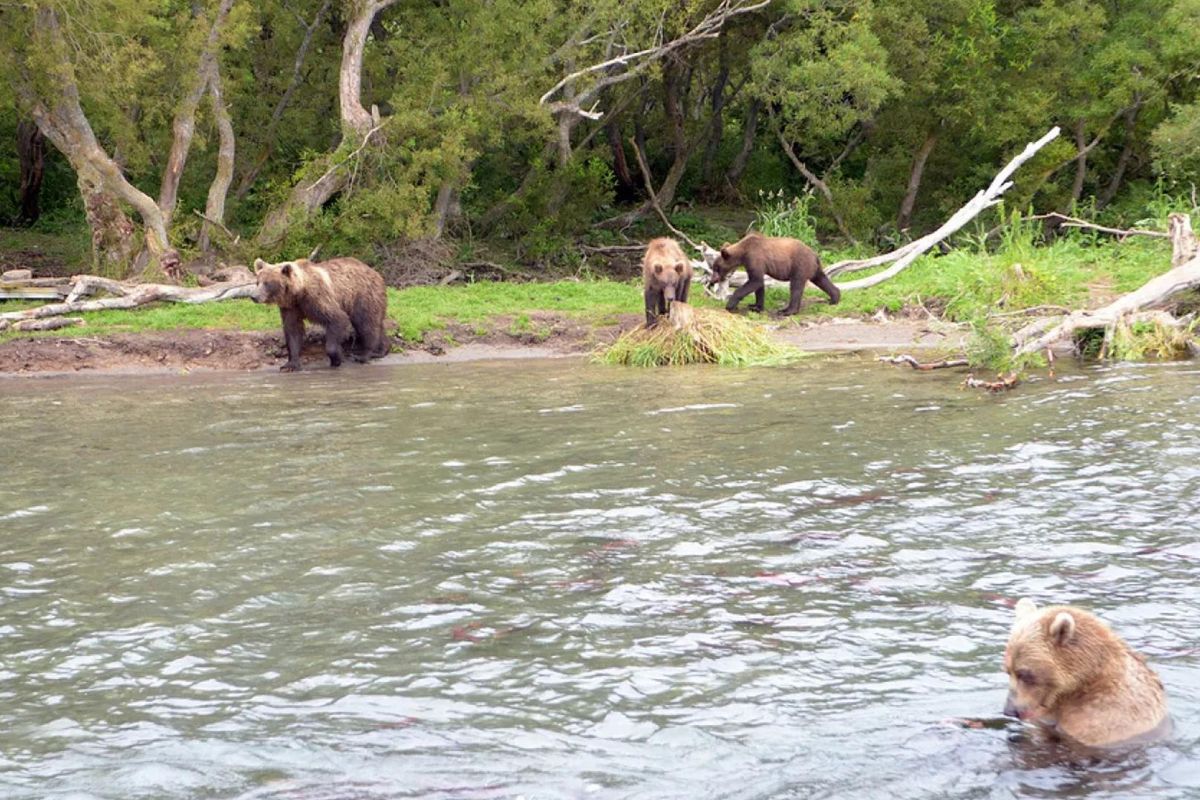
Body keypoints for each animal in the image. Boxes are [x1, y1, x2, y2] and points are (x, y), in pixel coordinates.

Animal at [250, 256, 386, 371]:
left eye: (267, 283)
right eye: (258, 282)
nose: (254, 296)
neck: (298, 293)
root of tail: (375, 272)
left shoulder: (317, 298)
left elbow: (337, 319)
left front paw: (336, 359)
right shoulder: (291, 307)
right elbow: (293, 330)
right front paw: (290, 365)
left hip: (362, 295)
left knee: (366, 323)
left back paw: (364, 354)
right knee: (377, 323)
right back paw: (381, 350)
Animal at [705, 232, 840, 314]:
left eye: (717, 268)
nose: (712, 280)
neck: (743, 252)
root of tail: (815, 255)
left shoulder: (754, 258)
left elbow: (755, 280)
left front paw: (730, 305)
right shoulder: (752, 263)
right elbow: (758, 284)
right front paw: (755, 306)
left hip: (799, 265)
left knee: (796, 286)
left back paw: (787, 311)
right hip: (813, 268)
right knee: (821, 279)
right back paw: (834, 298)